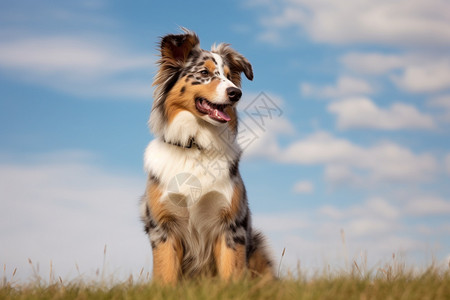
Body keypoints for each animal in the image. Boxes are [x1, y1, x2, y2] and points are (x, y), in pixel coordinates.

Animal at [141, 28, 274, 284]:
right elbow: (166, 274)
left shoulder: (232, 225)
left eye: (230, 76)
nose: (236, 93)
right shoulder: (163, 226)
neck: (196, 146)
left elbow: (232, 273)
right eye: (204, 73)